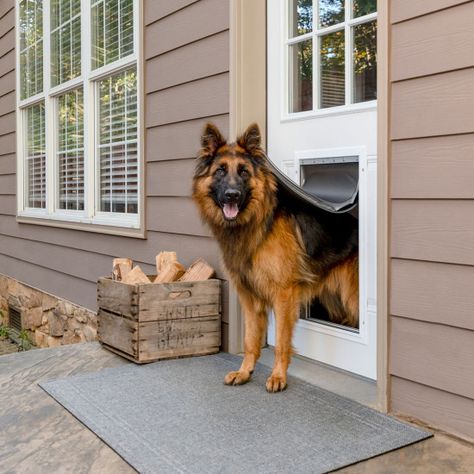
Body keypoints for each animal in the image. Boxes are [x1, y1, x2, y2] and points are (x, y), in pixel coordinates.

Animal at [191, 122, 358, 392]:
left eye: (244, 172)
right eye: (220, 171)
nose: (232, 195)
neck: (255, 227)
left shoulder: (284, 295)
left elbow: (280, 341)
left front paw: (278, 376)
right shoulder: (249, 298)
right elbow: (250, 340)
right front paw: (244, 372)